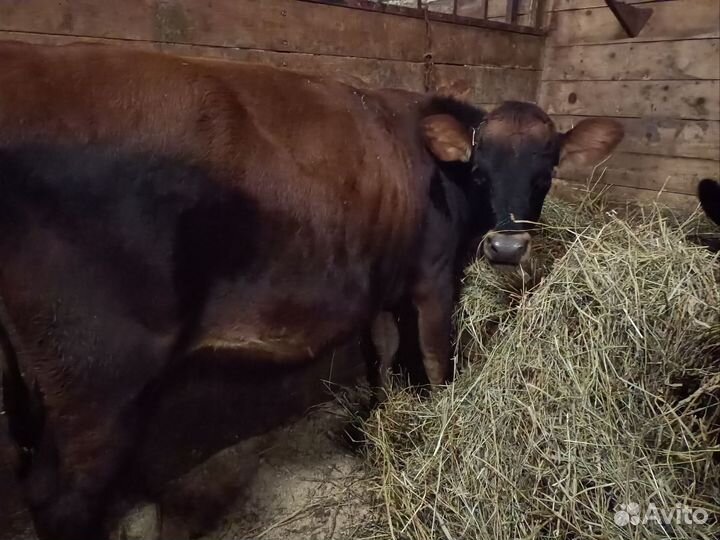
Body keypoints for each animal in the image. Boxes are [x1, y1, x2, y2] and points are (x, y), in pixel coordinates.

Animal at [0, 41, 623, 540]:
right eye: (479, 169)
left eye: (547, 168)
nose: (507, 248)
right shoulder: (433, 278)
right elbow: (433, 358)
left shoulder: (382, 281)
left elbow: (382, 356)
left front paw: (380, 419)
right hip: (98, 372)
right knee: (62, 498)